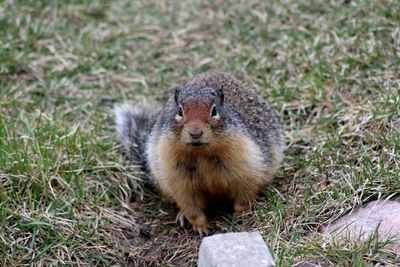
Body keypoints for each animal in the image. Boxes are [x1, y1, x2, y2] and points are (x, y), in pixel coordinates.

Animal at [115, 71, 284, 237]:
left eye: (214, 110)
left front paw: (241, 215)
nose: (195, 133)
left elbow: (245, 192)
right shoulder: (176, 173)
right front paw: (201, 227)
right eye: (180, 111)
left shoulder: (246, 161)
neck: (201, 154)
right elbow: (190, 203)